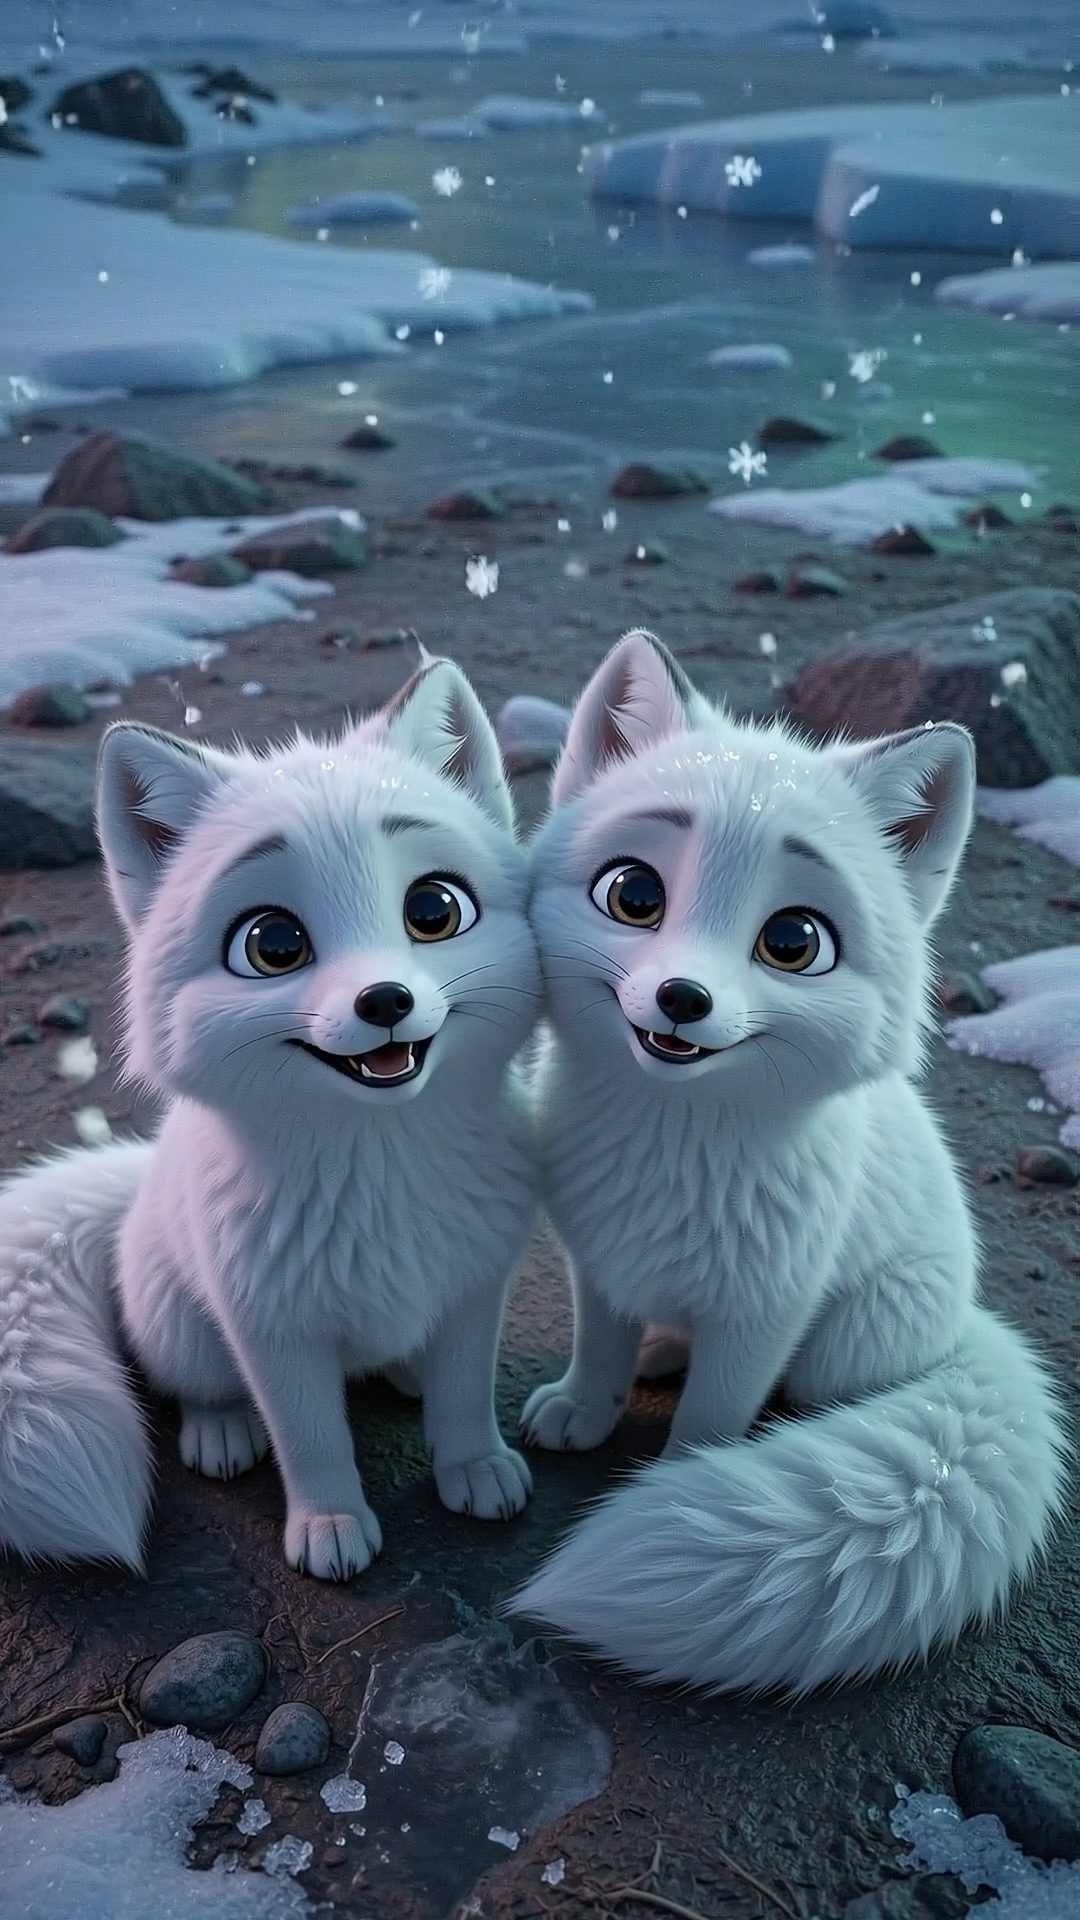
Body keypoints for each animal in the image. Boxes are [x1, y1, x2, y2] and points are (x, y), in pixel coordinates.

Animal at [0, 658, 539, 1579]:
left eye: (434, 910)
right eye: (274, 945)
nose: (385, 1001)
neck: (379, 1174)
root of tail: (140, 1185)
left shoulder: (475, 1289)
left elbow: (465, 1401)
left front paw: (473, 1468)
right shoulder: (271, 1330)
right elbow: (311, 1440)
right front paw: (330, 1526)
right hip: (181, 1326)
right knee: (197, 1388)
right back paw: (219, 1432)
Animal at [508, 629, 1069, 1696]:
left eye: (794, 941)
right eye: (633, 894)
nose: (681, 999)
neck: (671, 1152)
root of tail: (968, 1325)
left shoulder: (768, 1309)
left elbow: (713, 1420)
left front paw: (681, 1483)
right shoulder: (598, 1262)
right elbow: (599, 1352)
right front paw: (584, 1409)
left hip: (841, 1347)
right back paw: (659, 1349)